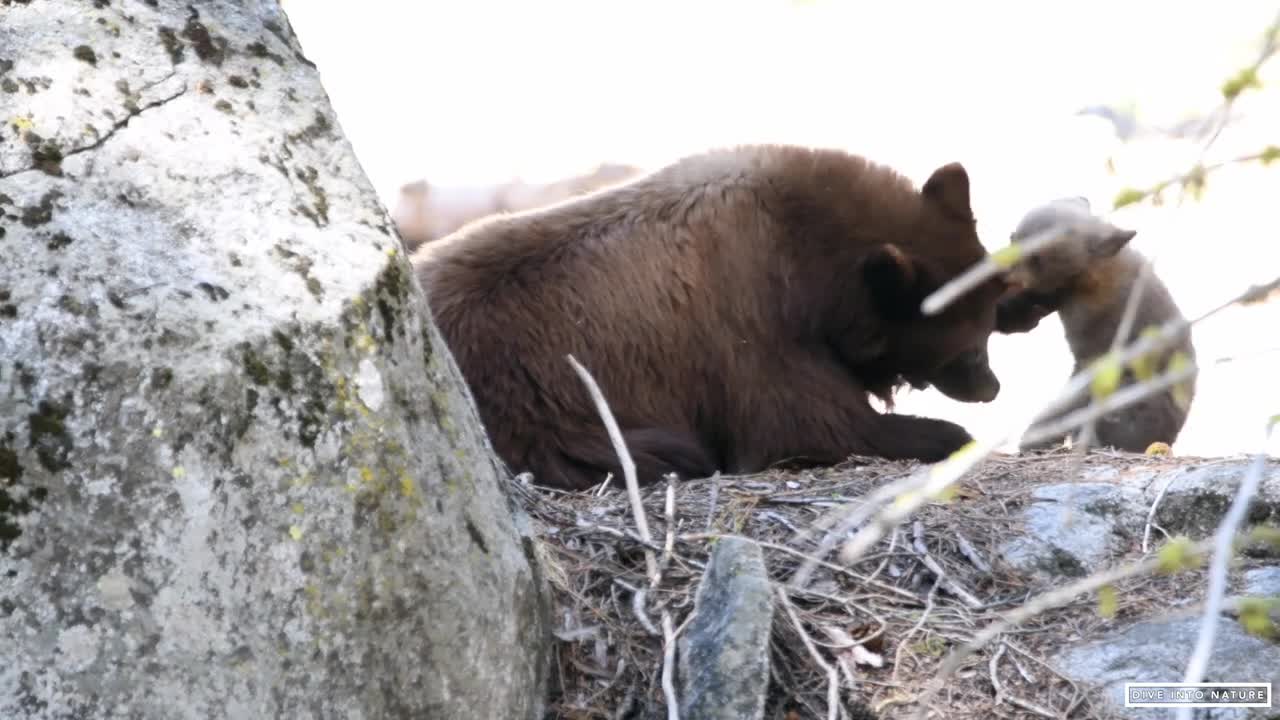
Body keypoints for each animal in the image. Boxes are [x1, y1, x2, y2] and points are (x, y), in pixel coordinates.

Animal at [414, 142, 1003, 489]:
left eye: (991, 320)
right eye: (968, 346)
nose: (991, 388)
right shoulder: (748, 324)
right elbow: (805, 426)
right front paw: (946, 435)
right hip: (541, 412)